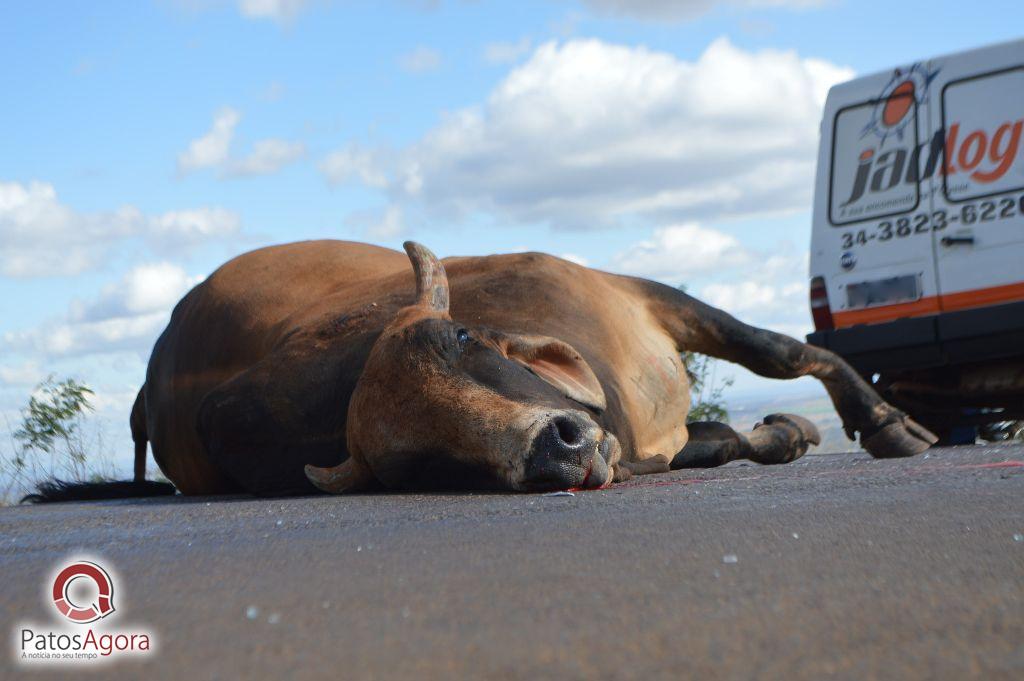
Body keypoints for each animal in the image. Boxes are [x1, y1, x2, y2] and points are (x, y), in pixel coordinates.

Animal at [28, 238, 937, 499]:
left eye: (461, 337)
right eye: (420, 462)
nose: (557, 447)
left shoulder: (644, 294)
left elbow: (780, 349)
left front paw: (887, 423)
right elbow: (723, 435)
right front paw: (785, 433)